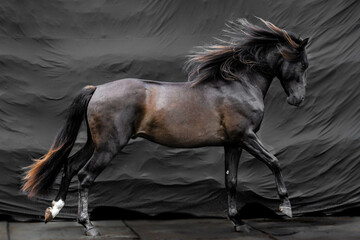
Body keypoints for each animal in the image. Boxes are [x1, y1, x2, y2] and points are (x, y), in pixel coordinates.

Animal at [22, 17, 310, 235]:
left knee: (70, 165)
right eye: (302, 63)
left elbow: (232, 181)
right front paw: (285, 209)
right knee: (84, 176)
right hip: (109, 145)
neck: (239, 85)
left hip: (96, 142)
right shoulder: (245, 137)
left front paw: (238, 221)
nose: (298, 100)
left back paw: (53, 210)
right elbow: (274, 162)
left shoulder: (232, 143)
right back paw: (88, 226)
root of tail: (98, 89)